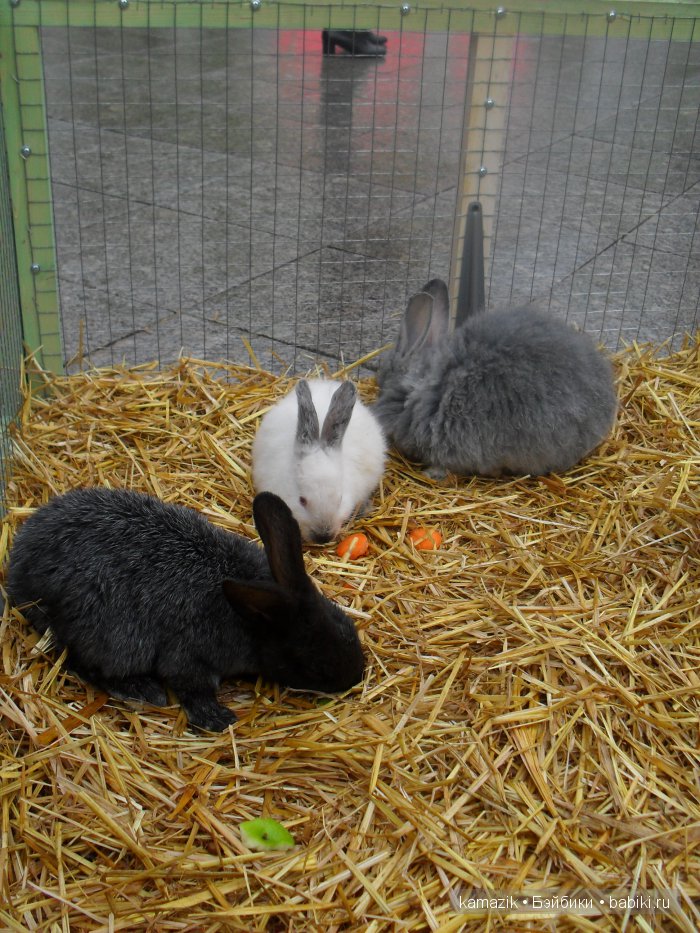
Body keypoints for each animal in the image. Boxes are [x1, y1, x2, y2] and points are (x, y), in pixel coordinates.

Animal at [5, 487, 365, 732]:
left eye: (346, 625)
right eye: (314, 665)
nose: (356, 675)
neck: (248, 620)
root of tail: (20, 569)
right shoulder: (188, 660)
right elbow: (193, 689)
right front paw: (218, 718)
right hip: (109, 638)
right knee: (86, 664)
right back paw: (144, 691)